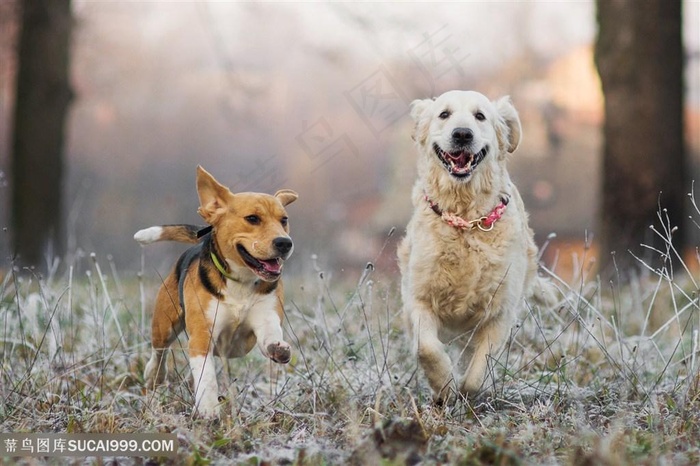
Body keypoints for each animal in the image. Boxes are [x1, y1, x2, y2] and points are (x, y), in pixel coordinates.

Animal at [135, 166, 298, 416]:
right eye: (252, 218)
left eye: (284, 220)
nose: (284, 243)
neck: (240, 282)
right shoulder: (202, 335)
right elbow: (207, 377)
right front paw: (209, 409)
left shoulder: (266, 315)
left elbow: (270, 332)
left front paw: (278, 348)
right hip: (164, 325)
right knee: (159, 354)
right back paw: (154, 375)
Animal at [396, 89, 548, 402]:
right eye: (444, 114)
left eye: (480, 116)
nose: (462, 134)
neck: (466, 220)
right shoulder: (418, 297)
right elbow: (426, 347)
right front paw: (444, 386)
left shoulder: (500, 311)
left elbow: (479, 371)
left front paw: (466, 392)